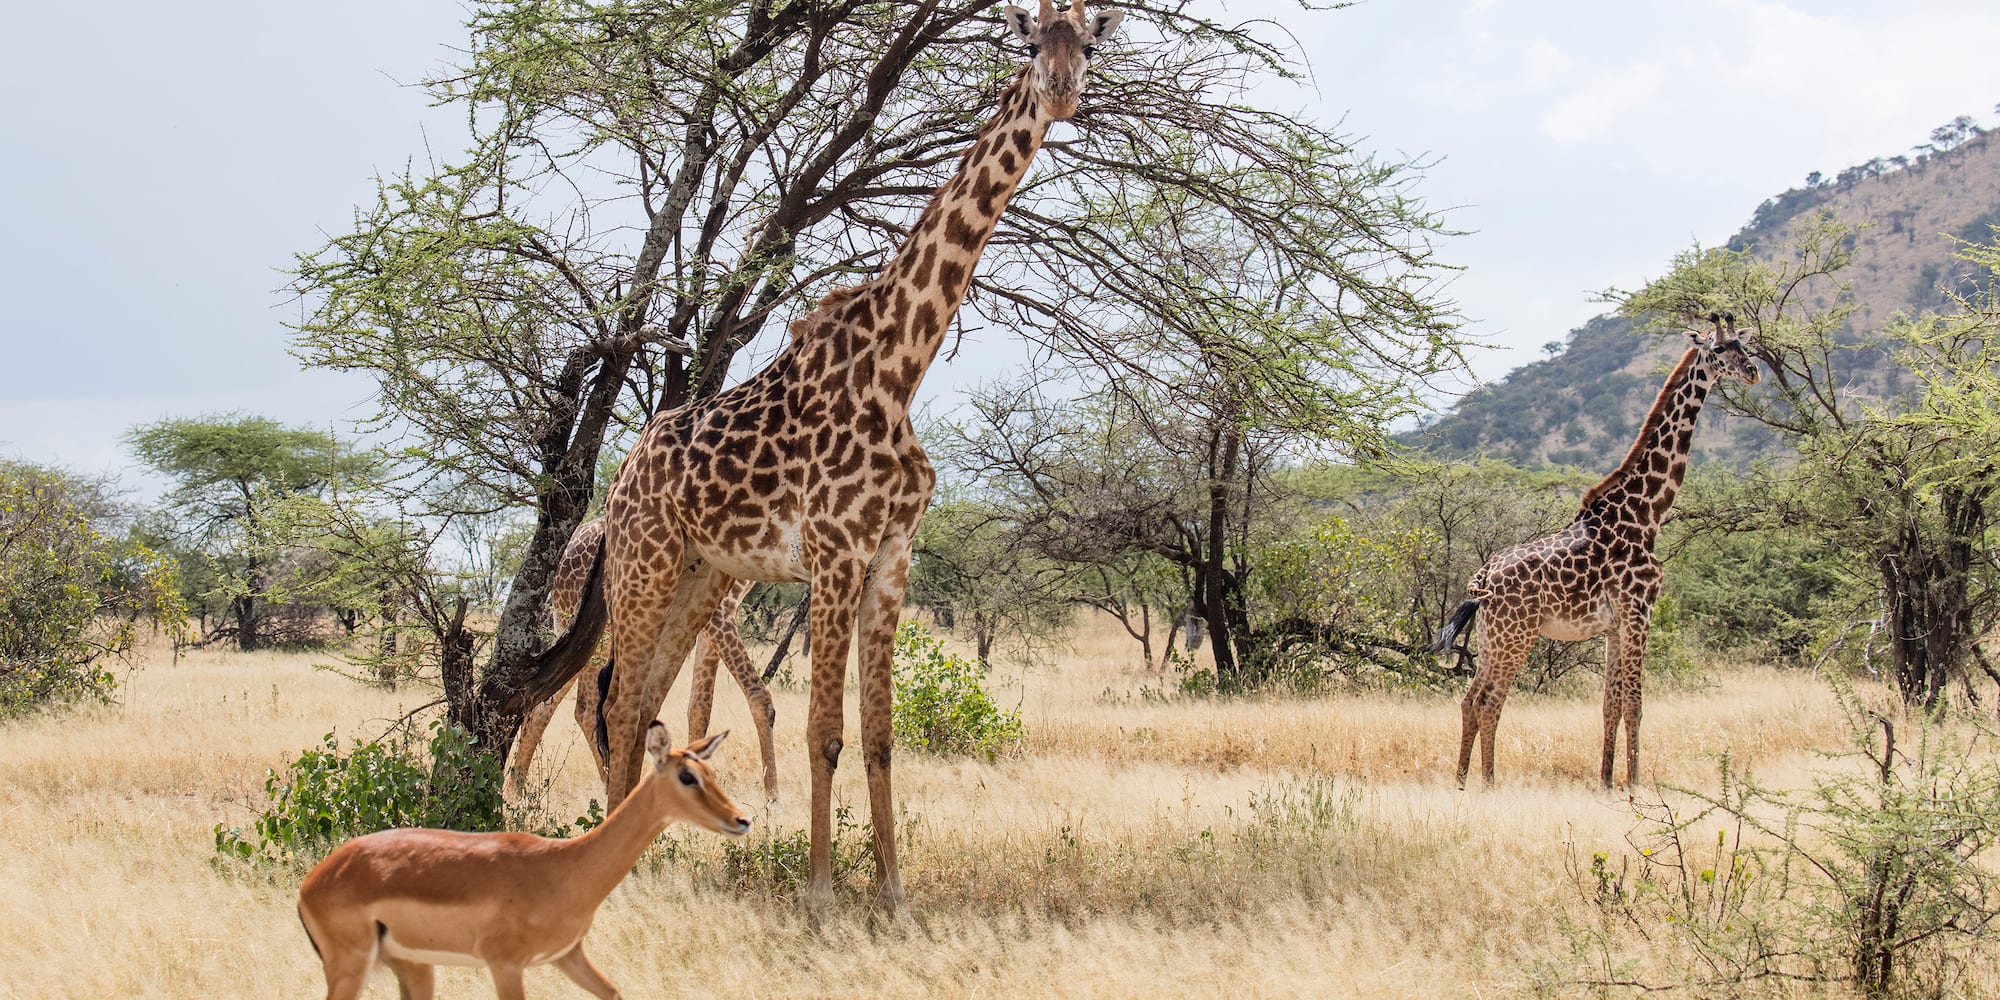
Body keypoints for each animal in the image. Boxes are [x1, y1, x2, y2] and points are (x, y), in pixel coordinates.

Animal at [508, 517, 781, 802]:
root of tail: (562, 558)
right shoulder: (719, 609)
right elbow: (759, 696)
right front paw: (772, 796)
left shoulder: (714, 610)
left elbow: (700, 707)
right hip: (595, 633)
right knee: (583, 708)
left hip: (579, 631)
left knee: (545, 706)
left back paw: (515, 790)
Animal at [575, 2, 1127, 909]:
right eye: (1027, 32)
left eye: (1090, 38)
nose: (1060, 88)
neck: (901, 367)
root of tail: (621, 471)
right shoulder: (836, 553)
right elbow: (824, 731)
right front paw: (823, 893)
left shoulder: (894, 553)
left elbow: (880, 737)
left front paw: (894, 895)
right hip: (645, 558)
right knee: (617, 702)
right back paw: (617, 870)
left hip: (700, 572)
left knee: (639, 696)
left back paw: (639, 858)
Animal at [1429, 313, 1762, 789]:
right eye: (1719, 350)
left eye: (1743, 345)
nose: (1752, 372)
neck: (1646, 514)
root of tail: (1482, 578)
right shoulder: (1640, 613)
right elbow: (1636, 705)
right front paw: (1635, 784)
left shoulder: (1614, 628)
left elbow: (1611, 705)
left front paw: (1606, 780)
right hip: (1518, 634)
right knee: (1490, 700)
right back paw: (1489, 782)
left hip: (1493, 635)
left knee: (1470, 699)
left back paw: (1461, 780)